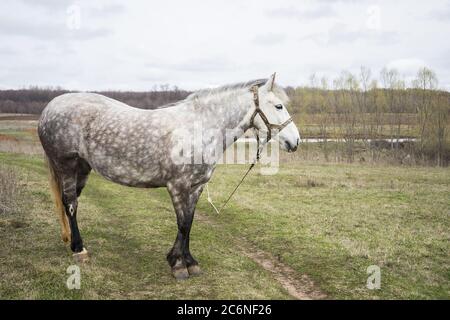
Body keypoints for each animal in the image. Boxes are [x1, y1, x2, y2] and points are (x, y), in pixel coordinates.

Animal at [37, 74, 298, 278]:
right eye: (278, 106)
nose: (295, 142)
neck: (199, 128)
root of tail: (48, 109)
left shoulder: (195, 187)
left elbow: (189, 223)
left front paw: (187, 262)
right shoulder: (178, 186)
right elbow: (182, 224)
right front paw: (179, 265)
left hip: (83, 168)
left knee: (70, 203)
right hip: (67, 165)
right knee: (71, 204)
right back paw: (79, 249)